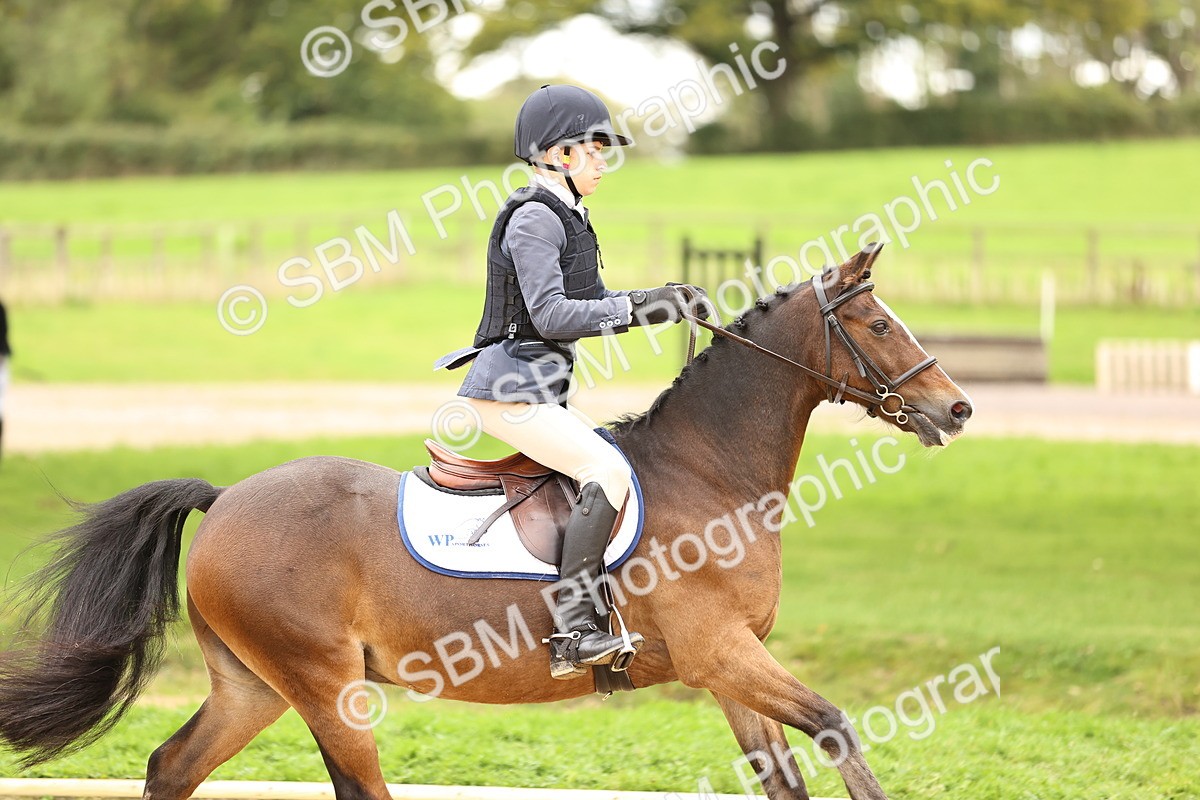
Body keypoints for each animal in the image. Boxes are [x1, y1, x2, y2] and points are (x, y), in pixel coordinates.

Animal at [0, 244, 972, 800]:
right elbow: (838, 726)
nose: (957, 410)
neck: (711, 471)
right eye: (877, 324)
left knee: (170, 768)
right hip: (323, 687)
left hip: (252, 686)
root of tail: (227, 498)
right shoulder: (720, 653)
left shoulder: (730, 670)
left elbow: (788, 777)